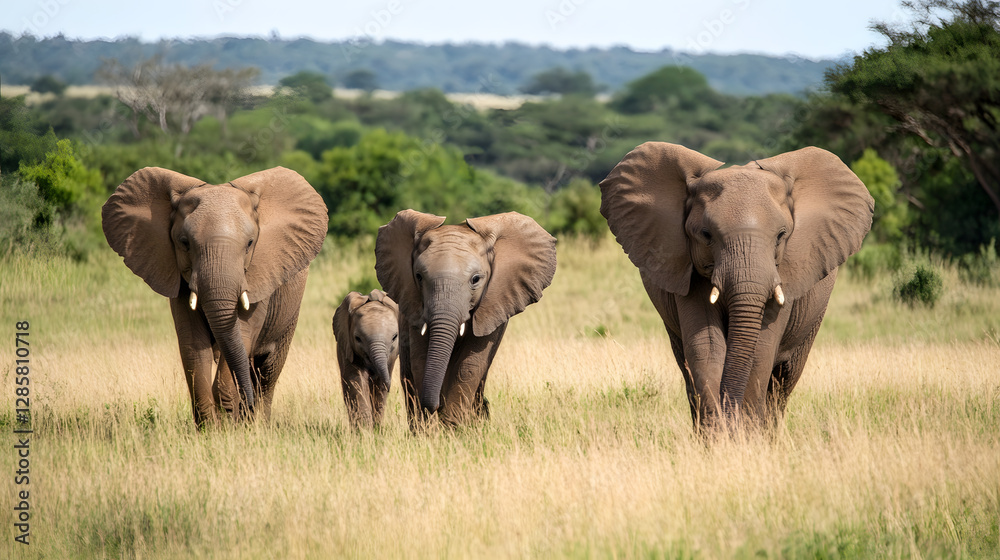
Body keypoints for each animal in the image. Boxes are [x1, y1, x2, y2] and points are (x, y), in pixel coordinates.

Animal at [102, 166, 328, 427]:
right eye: (184, 243)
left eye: (250, 243)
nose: (245, 404)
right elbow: (192, 345)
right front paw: (211, 429)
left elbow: (242, 334)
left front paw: (228, 426)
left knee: (267, 371)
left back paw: (257, 424)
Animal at [333, 289, 400, 429]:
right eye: (358, 338)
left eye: (394, 337)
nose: (391, 387)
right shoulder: (348, 348)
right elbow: (357, 382)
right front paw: (364, 431)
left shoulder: (391, 357)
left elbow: (380, 388)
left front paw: (376, 430)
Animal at [375, 210, 557, 427]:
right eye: (418, 276)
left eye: (476, 279)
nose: (435, 406)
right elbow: (421, 361)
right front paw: (431, 429)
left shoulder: (494, 303)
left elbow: (469, 366)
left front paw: (453, 427)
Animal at [600, 142, 873, 431]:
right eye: (706, 234)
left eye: (781, 235)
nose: (731, 418)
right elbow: (707, 348)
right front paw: (720, 436)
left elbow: (760, 351)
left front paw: (746, 435)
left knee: (783, 381)